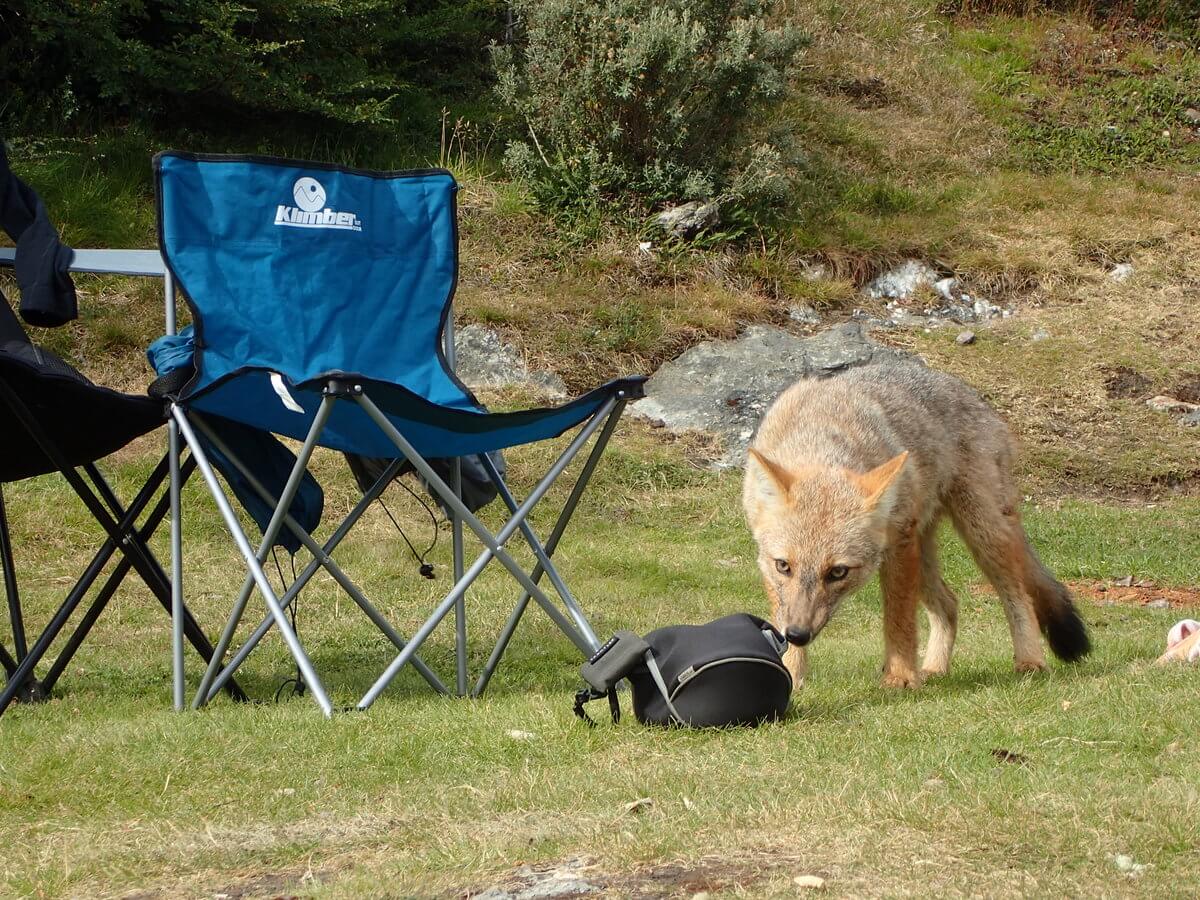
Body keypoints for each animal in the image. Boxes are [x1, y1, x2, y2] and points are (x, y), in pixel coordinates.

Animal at [739, 360, 1089, 691]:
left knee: (1018, 595)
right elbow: (781, 614)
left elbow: (899, 620)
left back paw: (1030, 661)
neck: (821, 433)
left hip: (981, 532)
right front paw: (793, 675)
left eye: (837, 572)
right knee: (950, 603)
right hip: (926, 555)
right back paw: (934, 669)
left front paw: (901, 678)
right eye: (784, 566)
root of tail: (975, 396)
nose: (798, 634)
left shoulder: (899, 543)